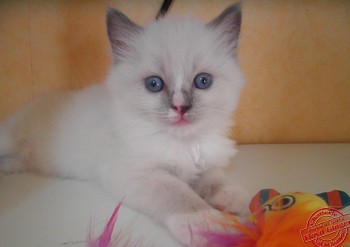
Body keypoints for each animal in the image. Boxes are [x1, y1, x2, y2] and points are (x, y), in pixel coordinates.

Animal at [0, 4, 246, 247]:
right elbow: (179, 195)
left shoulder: (204, 163)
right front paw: (209, 226)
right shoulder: (136, 173)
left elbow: (214, 179)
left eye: (203, 81)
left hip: (21, 161)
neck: (184, 142)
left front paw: (233, 199)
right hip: (8, 139)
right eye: (154, 84)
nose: (180, 107)